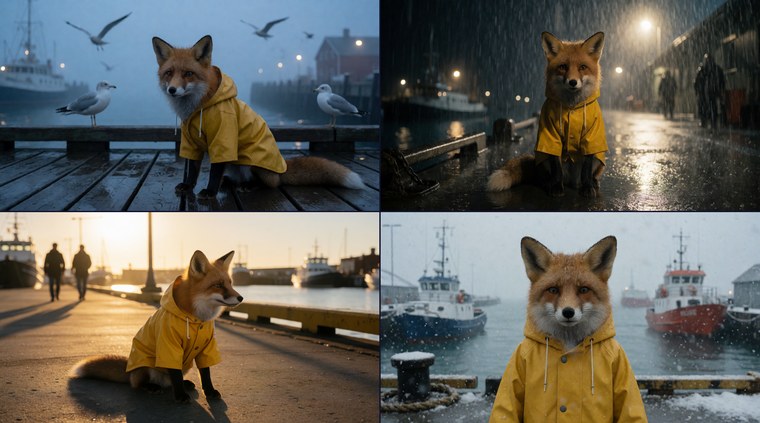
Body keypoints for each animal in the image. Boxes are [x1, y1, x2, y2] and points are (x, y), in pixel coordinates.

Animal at [70, 250, 243, 403]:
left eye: (230, 283)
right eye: (218, 285)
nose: (241, 298)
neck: (196, 320)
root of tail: (128, 370)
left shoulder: (206, 347)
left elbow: (205, 374)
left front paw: (209, 391)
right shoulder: (168, 346)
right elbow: (175, 375)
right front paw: (180, 396)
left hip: (185, 366)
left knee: (169, 382)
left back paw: (184, 383)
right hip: (146, 367)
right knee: (138, 384)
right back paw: (152, 387)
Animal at [151, 35, 364, 199]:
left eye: (188, 73)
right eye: (169, 73)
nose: (172, 90)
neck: (198, 107)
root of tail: (282, 168)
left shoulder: (224, 140)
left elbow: (214, 172)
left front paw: (210, 192)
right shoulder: (191, 142)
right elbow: (193, 170)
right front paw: (188, 187)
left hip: (251, 163)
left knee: (270, 184)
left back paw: (248, 186)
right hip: (235, 164)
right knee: (236, 179)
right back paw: (229, 183)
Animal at [488, 32, 608, 198]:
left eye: (582, 67)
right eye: (563, 67)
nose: (572, 82)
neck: (572, 107)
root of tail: (572, 181)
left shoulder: (591, 138)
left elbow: (587, 169)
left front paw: (588, 188)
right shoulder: (550, 136)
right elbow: (557, 168)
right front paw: (556, 187)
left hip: (599, 157)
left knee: (589, 174)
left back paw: (593, 183)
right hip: (542, 157)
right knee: (546, 176)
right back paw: (548, 183)